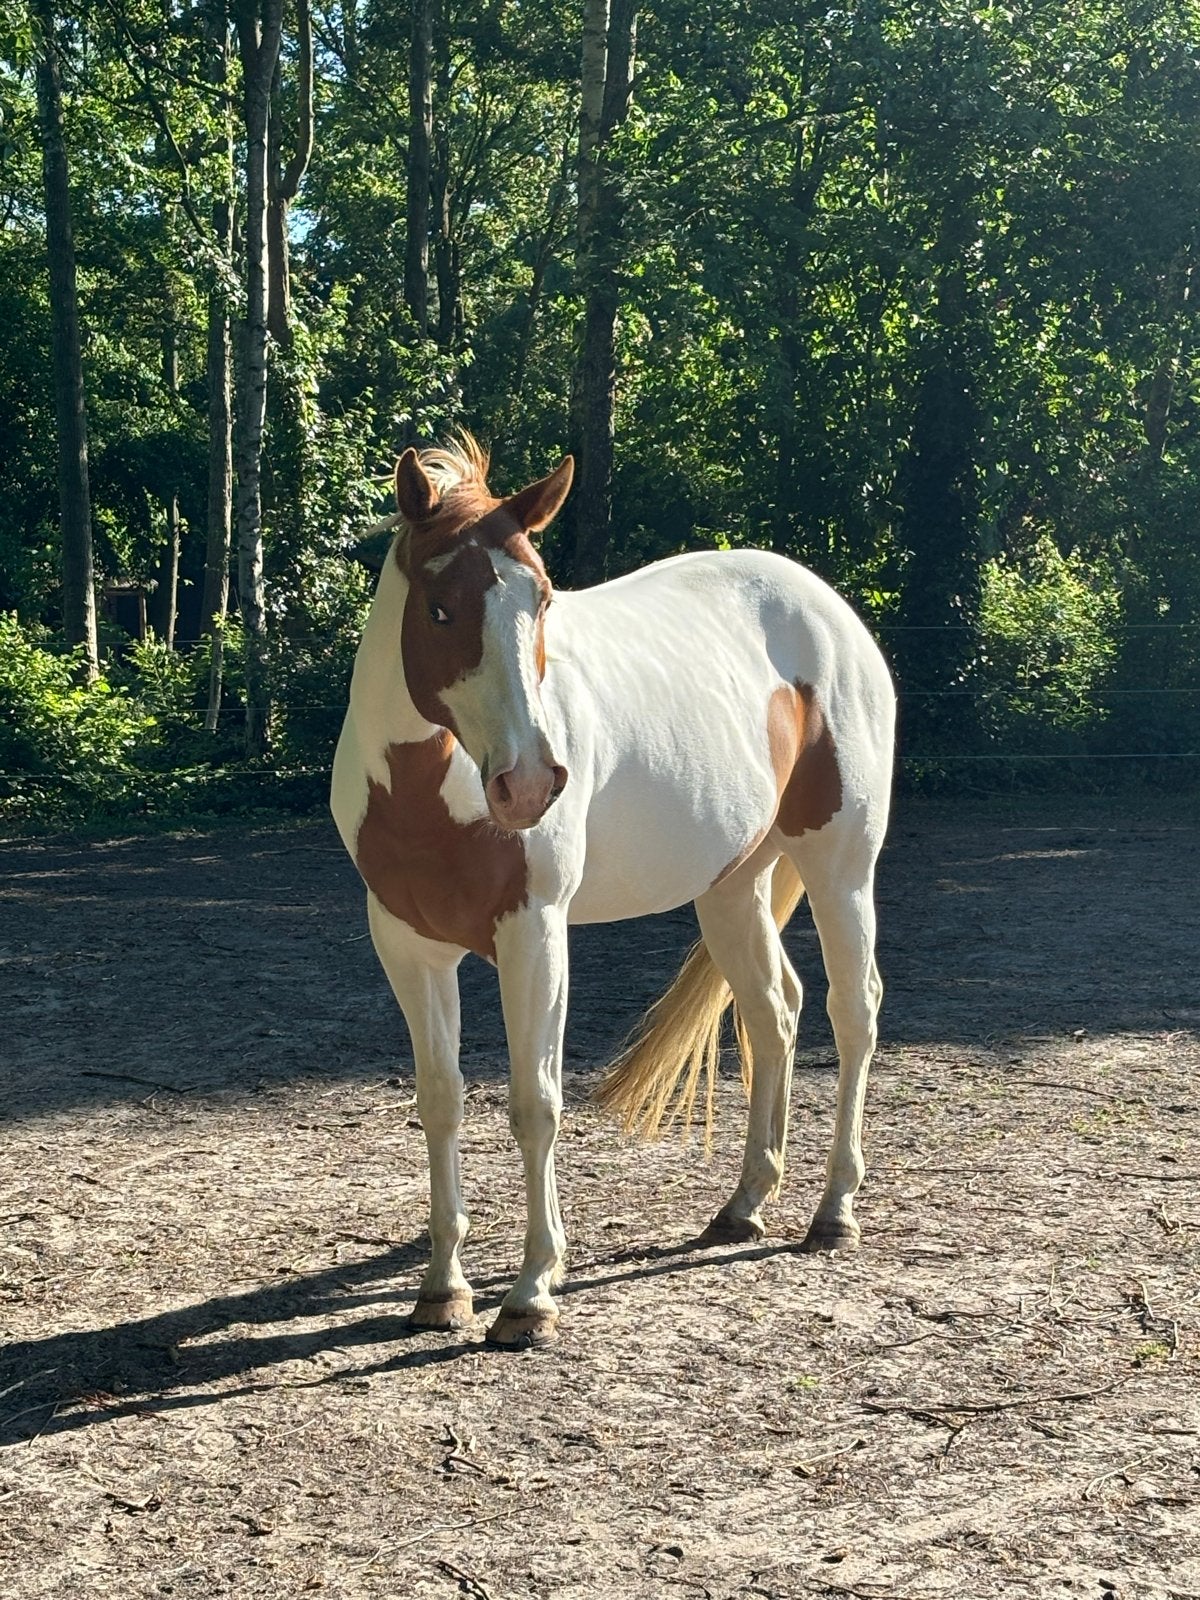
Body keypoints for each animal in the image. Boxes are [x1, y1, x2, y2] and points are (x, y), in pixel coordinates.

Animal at [331, 435, 895, 1348]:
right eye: (441, 610)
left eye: (543, 598)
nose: (529, 783)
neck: (432, 790)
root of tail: (829, 611)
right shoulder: (409, 948)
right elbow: (441, 1102)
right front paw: (442, 1289)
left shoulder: (534, 934)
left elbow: (535, 1104)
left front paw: (530, 1295)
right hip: (734, 886)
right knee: (774, 1012)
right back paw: (744, 1204)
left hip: (840, 865)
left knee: (854, 1011)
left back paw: (834, 1210)